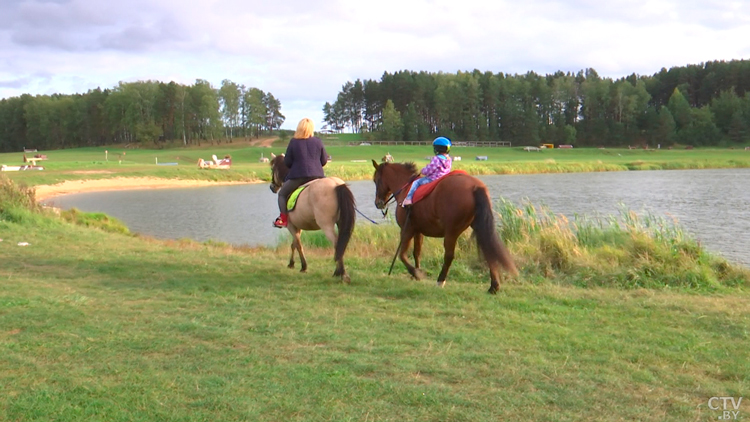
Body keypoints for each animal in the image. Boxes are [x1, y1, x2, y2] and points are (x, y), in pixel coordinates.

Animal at [272, 153, 356, 282]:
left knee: (336, 243)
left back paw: (341, 273)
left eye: (272, 168)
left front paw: (303, 266)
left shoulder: (291, 226)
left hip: (326, 225)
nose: (272, 187)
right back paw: (338, 272)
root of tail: (336, 184)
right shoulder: (298, 226)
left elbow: (298, 245)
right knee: (340, 244)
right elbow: (294, 244)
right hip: (341, 222)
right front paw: (292, 263)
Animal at [372, 160, 516, 296]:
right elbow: (416, 252)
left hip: (451, 232)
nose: (378, 203)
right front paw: (416, 273)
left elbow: (402, 255)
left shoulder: (407, 230)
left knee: (449, 256)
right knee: (488, 251)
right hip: (479, 228)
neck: (405, 189)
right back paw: (494, 286)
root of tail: (475, 187)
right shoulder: (418, 231)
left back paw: (440, 280)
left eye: (375, 180)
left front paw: (416, 273)